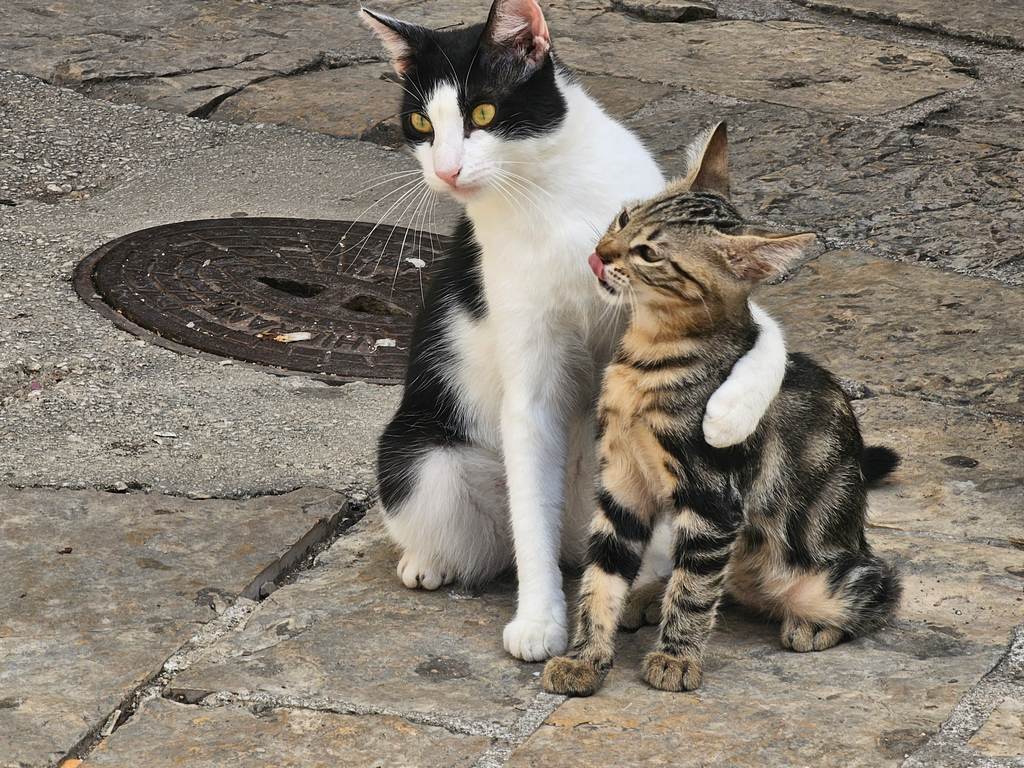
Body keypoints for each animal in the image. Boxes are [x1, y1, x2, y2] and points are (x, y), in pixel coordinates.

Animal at [361, 0, 791, 662]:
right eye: (420, 124)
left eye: (483, 113)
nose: (447, 170)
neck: (547, 195)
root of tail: (574, 541)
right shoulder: (526, 373)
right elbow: (530, 496)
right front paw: (541, 619)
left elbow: (767, 333)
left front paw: (729, 415)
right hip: (420, 457)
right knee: (484, 527)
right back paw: (428, 562)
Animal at [541, 123, 902, 696]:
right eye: (623, 217)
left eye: (648, 253)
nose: (599, 253)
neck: (647, 359)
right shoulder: (622, 483)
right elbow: (600, 579)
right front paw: (584, 658)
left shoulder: (713, 499)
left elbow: (693, 593)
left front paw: (675, 658)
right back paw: (649, 595)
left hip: (825, 578)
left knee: (878, 587)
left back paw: (812, 625)